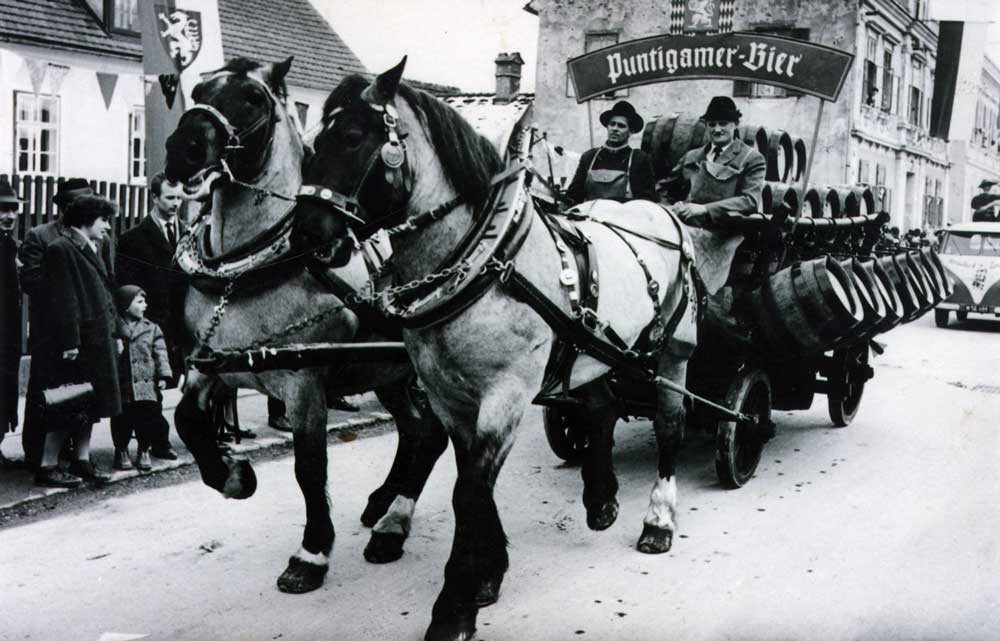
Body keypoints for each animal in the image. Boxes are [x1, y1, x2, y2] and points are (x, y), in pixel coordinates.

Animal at [164, 58, 450, 596]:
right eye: (197, 90)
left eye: (252, 98)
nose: (182, 149)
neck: (247, 269)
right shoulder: (211, 364)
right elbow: (187, 420)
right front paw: (234, 475)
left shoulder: (303, 383)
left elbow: (309, 468)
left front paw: (312, 553)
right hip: (389, 374)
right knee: (417, 431)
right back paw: (384, 504)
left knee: (433, 435)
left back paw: (392, 523)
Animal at [286, 57, 708, 636]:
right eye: (309, 144)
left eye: (352, 137)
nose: (303, 237)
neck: (487, 259)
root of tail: (662, 213)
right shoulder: (448, 394)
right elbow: (470, 481)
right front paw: (488, 574)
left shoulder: (505, 396)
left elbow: (469, 490)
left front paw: (455, 604)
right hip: (591, 348)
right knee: (601, 407)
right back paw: (601, 499)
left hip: (672, 350)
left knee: (670, 423)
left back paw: (659, 518)